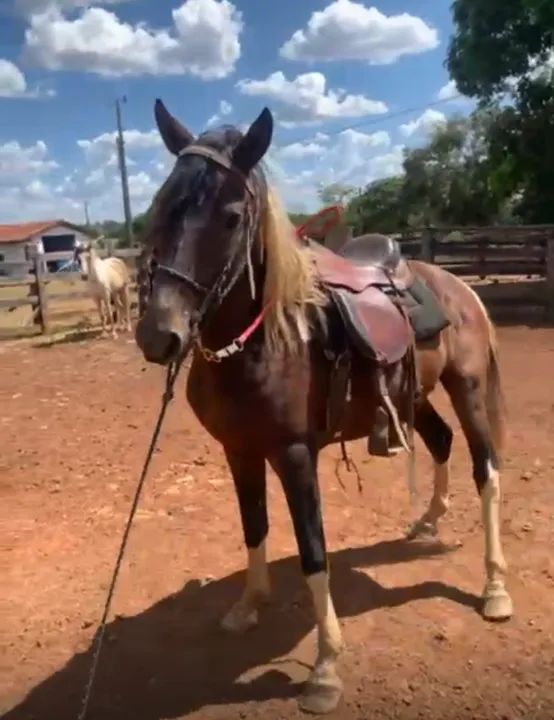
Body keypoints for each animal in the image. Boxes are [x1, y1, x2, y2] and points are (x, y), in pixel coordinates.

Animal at [134, 101, 513, 714]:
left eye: (232, 217)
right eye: (161, 205)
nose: (159, 335)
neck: (267, 340)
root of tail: (458, 286)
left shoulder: (294, 455)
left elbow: (314, 554)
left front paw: (325, 668)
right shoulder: (239, 451)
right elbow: (254, 528)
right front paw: (248, 606)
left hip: (469, 388)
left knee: (487, 472)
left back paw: (495, 588)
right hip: (414, 397)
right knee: (441, 444)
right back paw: (427, 522)